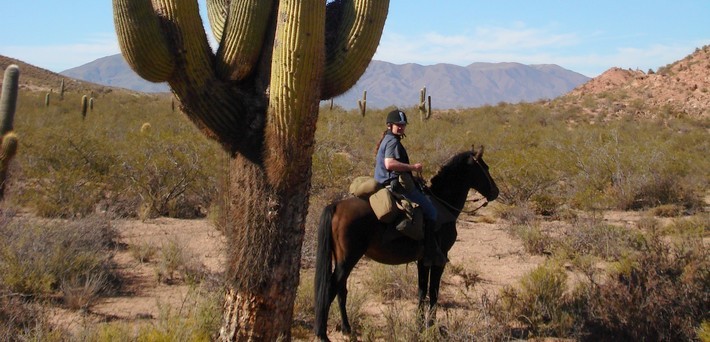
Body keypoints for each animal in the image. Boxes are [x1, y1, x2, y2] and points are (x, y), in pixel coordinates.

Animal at [314, 144, 504, 340]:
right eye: (486, 167)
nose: (495, 192)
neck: (442, 204)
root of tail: (335, 206)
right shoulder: (439, 259)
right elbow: (433, 291)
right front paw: (432, 327)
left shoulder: (423, 260)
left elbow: (422, 290)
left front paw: (420, 326)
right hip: (349, 258)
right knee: (330, 288)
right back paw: (322, 334)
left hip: (342, 259)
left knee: (341, 290)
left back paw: (347, 329)